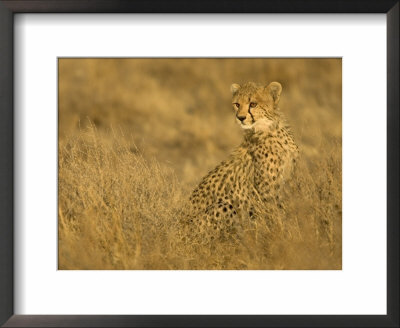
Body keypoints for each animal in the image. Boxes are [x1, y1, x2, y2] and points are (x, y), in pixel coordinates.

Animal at [183, 82, 298, 245]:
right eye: (237, 104)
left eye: (253, 104)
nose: (240, 118)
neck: (271, 129)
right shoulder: (266, 191)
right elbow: (275, 215)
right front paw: (279, 234)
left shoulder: (287, 182)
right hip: (226, 205)